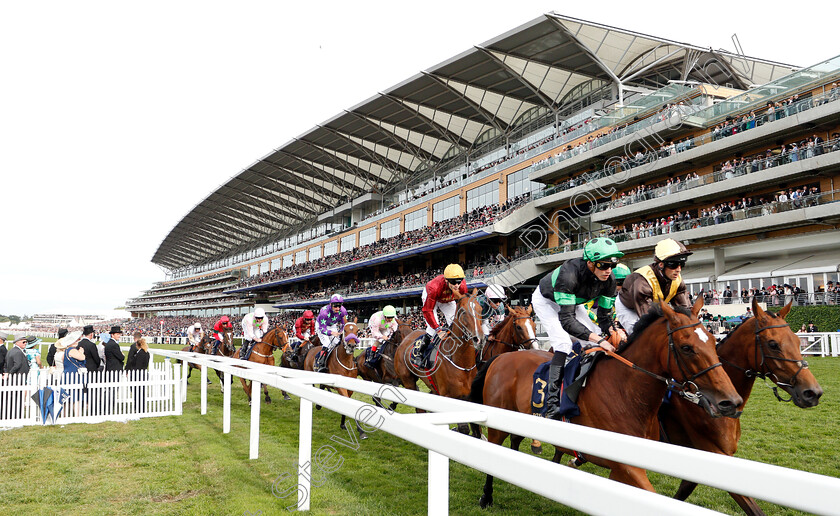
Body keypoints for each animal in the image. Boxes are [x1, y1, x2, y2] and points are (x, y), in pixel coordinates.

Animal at [396, 288, 486, 434]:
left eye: (480, 309)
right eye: (462, 311)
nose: (479, 339)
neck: (462, 363)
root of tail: (406, 337)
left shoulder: (470, 398)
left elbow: (475, 429)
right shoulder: (448, 397)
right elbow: (464, 428)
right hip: (408, 382)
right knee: (419, 409)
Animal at [472, 298, 740, 508]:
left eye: (712, 342)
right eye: (686, 347)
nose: (731, 402)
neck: (626, 392)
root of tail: (501, 358)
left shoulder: (624, 468)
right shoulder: (626, 465)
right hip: (497, 423)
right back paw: (486, 497)